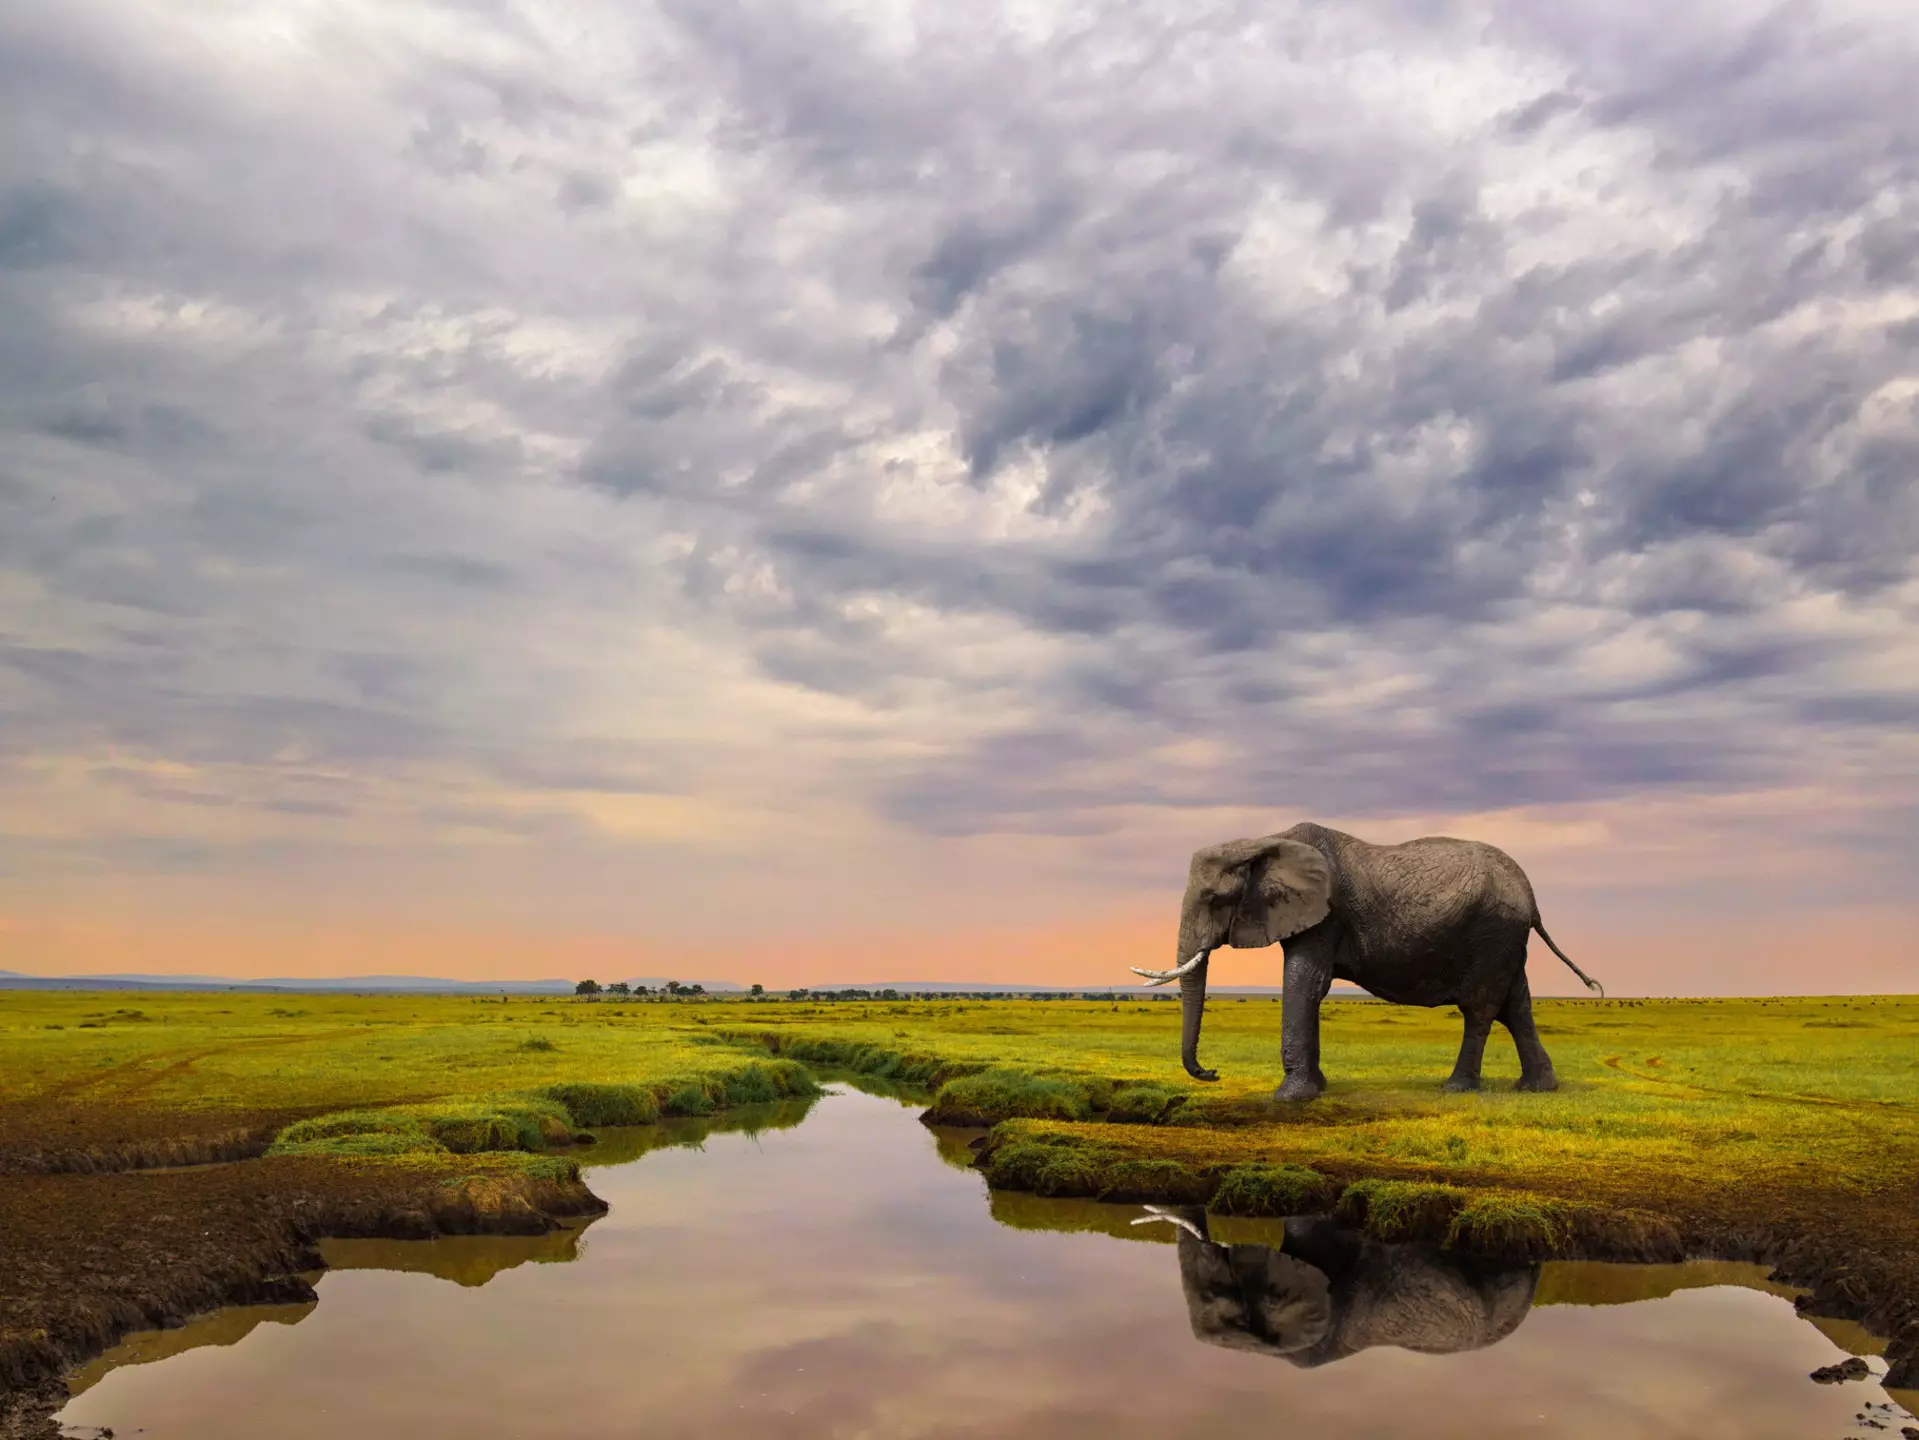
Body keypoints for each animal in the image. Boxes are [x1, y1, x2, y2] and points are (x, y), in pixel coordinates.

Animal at [1129, 822, 1603, 1100]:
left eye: (1216, 898)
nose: (1212, 1072)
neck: (1260, 841)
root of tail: (1532, 895)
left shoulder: (1325, 913)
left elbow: (1305, 982)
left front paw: (1290, 1098)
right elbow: (1311, 988)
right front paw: (1318, 1089)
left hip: (1492, 931)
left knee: (1482, 1009)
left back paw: (1457, 1088)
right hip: (1506, 938)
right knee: (1516, 1005)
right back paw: (1536, 1089)